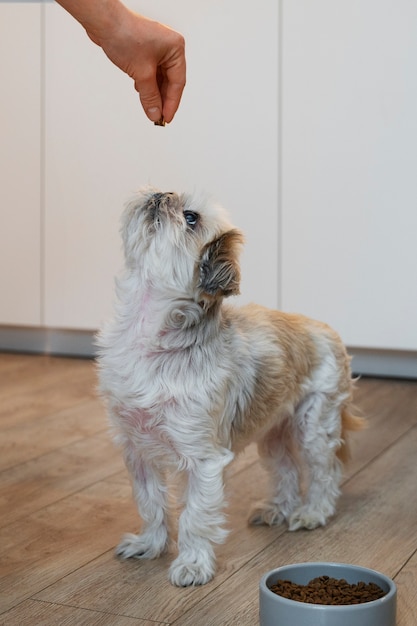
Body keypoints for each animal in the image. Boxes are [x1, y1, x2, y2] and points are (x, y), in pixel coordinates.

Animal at [96, 188, 360, 588]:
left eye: (191, 218)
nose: (162, 194)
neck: (147, 334)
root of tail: (326, 329)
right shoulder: (137, 449)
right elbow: (150, 503)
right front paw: (149, 545)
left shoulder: (203, 460)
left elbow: (194, 517)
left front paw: (192, 565)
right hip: (273, 432)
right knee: (286, 470)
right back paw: (277, 509)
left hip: (314, 425)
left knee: (323, 472)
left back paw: (313, 513)